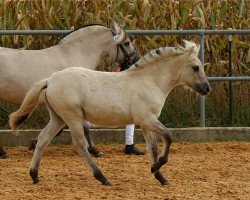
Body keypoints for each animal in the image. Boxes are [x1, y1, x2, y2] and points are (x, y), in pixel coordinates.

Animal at [0, 21, 139, 156]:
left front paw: (34, 142)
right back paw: (3, 153)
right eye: (127, 43)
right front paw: (94, 150)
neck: (74, 54)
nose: (136, 60)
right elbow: (84, 127)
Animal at [9, 40, 211, 186]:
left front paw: (159, 176)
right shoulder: (147, 119)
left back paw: (34, 175)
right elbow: (169, 136)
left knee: (43, 139)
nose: (207, 89)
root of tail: (51, 79)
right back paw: (102, 178)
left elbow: (152, 147)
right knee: (80, 145)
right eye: (195, 67)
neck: (149, 80)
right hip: (73, 118)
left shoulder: (146, 123)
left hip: (58, 118)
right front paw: (156, 168)